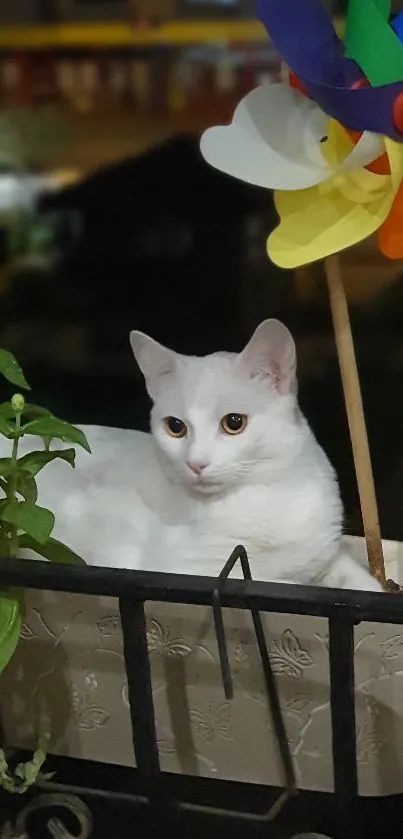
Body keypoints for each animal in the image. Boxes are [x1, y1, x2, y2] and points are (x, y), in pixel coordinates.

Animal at [15, 320, 382, 592]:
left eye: (234, 422)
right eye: (175, 426)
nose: (196, 463)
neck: (265, 494)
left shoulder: (324, 554)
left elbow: (355, 578)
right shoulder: (182, 568)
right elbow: (282, 581)